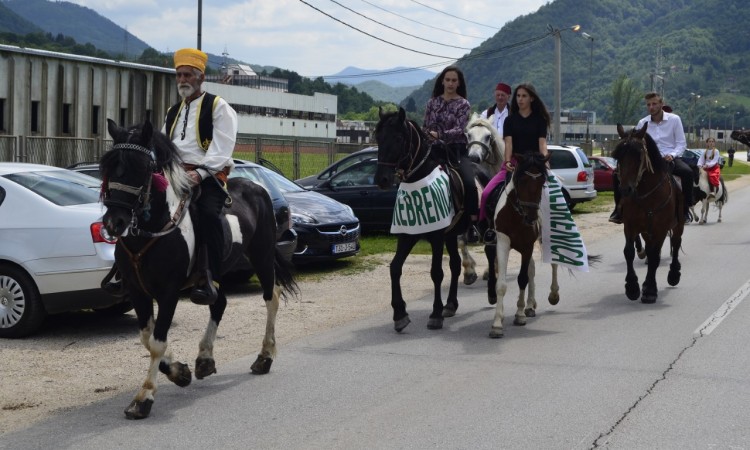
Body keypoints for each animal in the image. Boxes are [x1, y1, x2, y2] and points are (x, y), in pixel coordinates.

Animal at [458, 113, 506, 284]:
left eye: (488, 136)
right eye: (468, 135)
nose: (473, 157)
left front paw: (493, 271)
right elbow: (461, 241)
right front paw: (469, 272)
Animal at [612, 125, 684, 304]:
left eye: (639, 155)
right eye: (617, 156)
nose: (626, 189)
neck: (647, 195)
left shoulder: (661, 229)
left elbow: (654, 256)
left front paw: (650, 290)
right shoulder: (630, 226)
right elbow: (629, 252)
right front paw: (632, 287)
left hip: (678, 225)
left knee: (676, 243)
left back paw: (674, 274)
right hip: (646, 230)